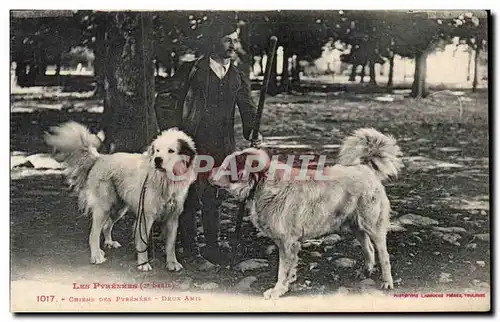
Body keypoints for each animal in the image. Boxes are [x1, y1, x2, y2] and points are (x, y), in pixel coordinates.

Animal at [45, 121, 196, 272]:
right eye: (157, 150)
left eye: (171, 150)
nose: (157, 160)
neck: (166, 180)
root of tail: (99, 158)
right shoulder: (146, 217)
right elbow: (143, 243)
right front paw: (143, 263)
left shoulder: (172, 218)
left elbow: (171, 244)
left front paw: (172, 263)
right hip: (104, 207)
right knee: (94, 234)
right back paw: (97, 255)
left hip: (119, 209)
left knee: (107, 226)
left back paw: (109, 243)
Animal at [209, 128, 404, 300]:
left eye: (226, 167)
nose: (208, 174)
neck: (262, 181)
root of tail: (365, 168)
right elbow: (289, 269)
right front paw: (287, 284)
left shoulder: (288, 242)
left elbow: (283, 270)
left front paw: (277, 290)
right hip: (355, 225)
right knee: (368, 248)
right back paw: (365, 271)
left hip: (373, 226)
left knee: (384, 255)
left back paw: (387, 282)